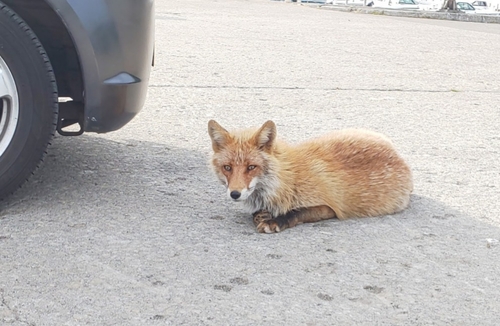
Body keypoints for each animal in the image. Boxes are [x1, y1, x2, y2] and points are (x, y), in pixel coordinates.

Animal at [208, 121, 414, 233]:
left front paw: (275, 221)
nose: (235, 194)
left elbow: (296, 212)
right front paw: (263, 215)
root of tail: (396, 152)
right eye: (227, 167)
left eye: (251, 167)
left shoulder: (328, 207)